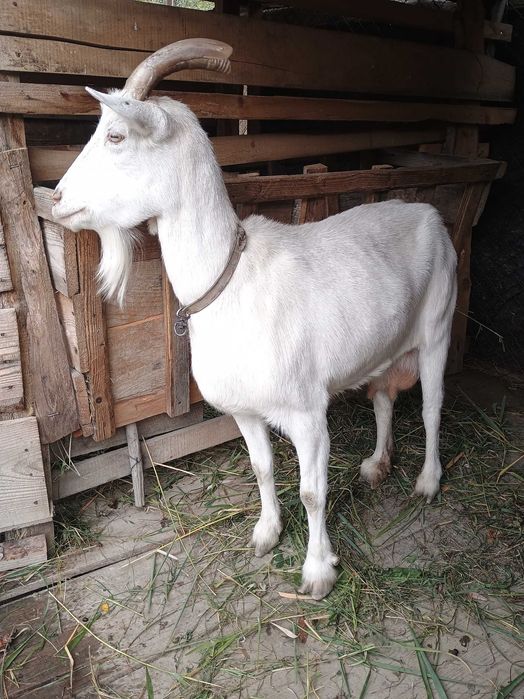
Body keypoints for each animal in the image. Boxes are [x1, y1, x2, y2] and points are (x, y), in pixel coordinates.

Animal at [52, 39, 457, 599]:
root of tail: (430, 214)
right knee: (381, 399)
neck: (232, 281)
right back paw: (376, 465)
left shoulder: (307, 412)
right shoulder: (245, 409)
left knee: (433, 408)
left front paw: (317, 573)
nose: (56, 199)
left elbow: (312, 493)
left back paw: (427, 482)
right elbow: (261, 468)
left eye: (115, 134)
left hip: (439, 328)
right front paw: (265, 534)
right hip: (383, 346)